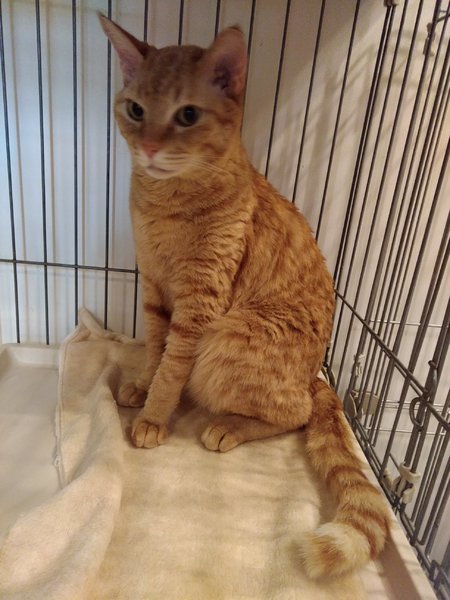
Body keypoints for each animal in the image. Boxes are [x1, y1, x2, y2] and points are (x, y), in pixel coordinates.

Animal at [99, 14, 390, 579]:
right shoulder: (156, 290)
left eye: (187, 115)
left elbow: (172, 368)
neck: (164, 203)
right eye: (136, 109)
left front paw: (153, 417)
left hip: (229, 339)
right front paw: (141, 385)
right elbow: (154, 349)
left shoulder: (199, 305)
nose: (150, 148)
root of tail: (316, 374)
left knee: (296, 413)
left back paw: (229, 427)